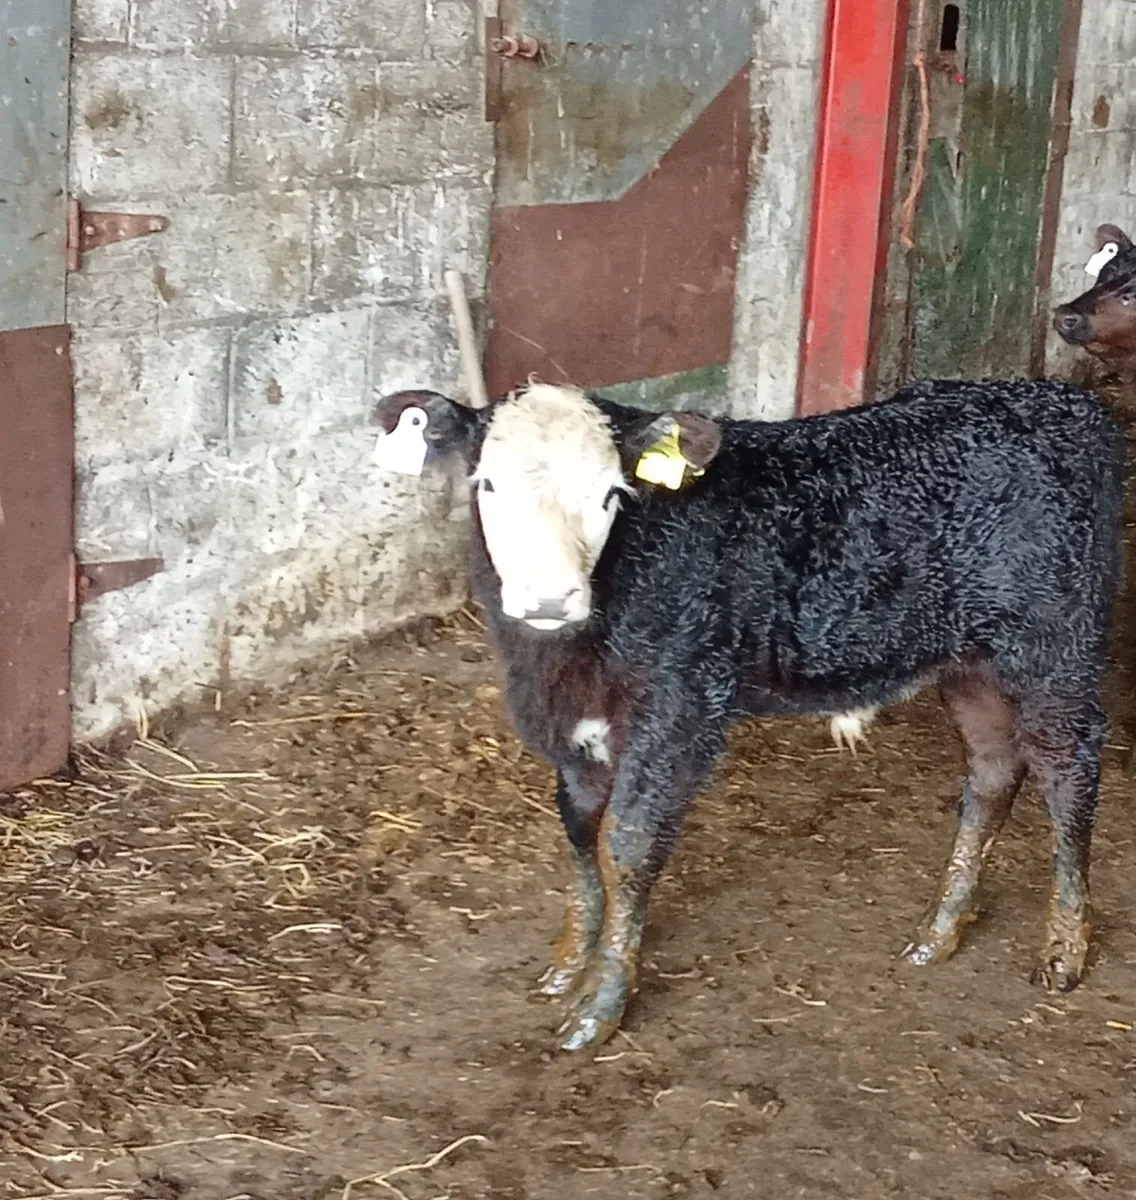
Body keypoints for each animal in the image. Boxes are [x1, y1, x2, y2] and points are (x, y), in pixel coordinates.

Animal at [372, 378, 1124, 1052]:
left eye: (612, 494)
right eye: (487, 486)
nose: (551, 597)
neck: (562, 660)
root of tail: (1065, 400)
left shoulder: (679, 704)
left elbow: (628, 844)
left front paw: (601, 1003)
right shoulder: (577, 728)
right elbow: (581, 832)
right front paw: (568, 960)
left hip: (1055, 646)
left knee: (1069, 772)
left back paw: (1064, 945)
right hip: (971, 663)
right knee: (993, 770)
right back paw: (941, 929)